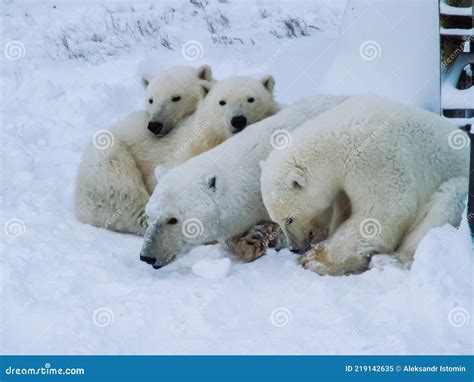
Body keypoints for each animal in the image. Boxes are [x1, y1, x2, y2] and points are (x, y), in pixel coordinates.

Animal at [262, 94, 468, 276]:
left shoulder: (376, 158)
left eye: (289, 219)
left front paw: (315, 258)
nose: (294, 248)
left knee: (446, 202)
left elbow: (380, 213)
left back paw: (388, 259)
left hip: (458, 184)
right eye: (276, 221)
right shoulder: (343, 184)